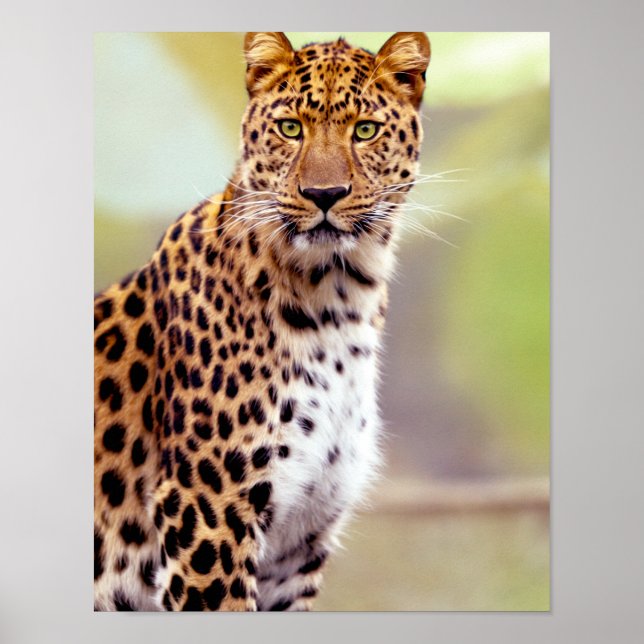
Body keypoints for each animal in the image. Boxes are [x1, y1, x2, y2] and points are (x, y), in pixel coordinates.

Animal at [94, 31, 431, 611]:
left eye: (365, 130)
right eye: (290, 128)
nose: (324, 195)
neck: (338, 299)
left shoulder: (299, 541)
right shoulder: (209, 510)